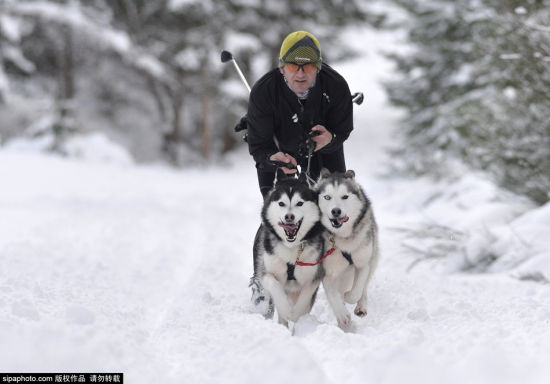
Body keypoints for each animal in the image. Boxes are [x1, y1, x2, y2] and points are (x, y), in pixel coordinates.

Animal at [252, 171, 326, 328]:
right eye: (281, 203)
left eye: (300, 203)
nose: (289, 217)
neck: (291, 247)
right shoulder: (265, 272)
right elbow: (275, 286)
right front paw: (286, 309)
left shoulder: (314, 275)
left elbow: (305, 298)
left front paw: (296, 314)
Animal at [316, 169, 382, 328]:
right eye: (327, 197)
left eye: (345, 196)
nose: (336, 211)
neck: (344, 238)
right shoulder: (327, 273)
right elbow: (334, 295)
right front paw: (342, 314)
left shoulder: (363, 263)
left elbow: (356, 291)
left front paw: (348, 297)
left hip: (372, 256)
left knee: (363, 287)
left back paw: (361, 306)